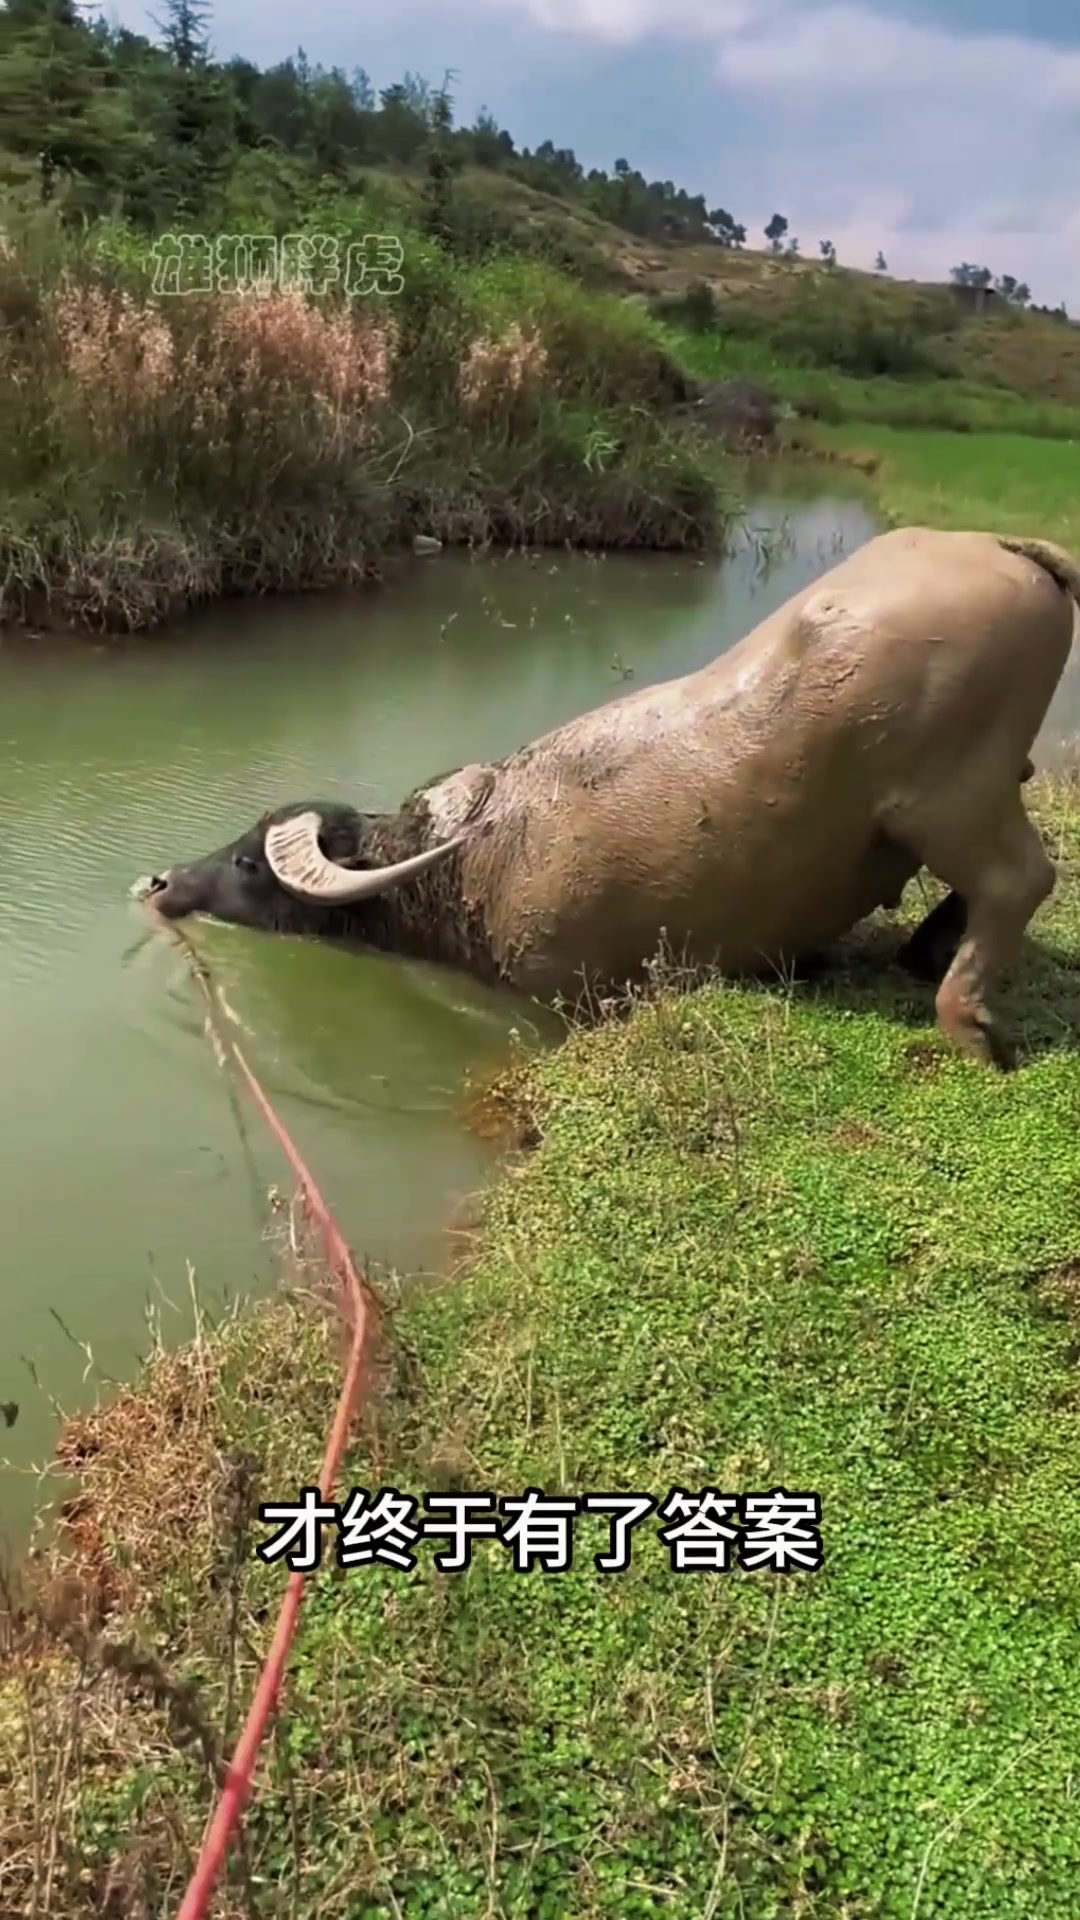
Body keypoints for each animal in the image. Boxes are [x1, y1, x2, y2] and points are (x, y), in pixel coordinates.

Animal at [141, 526, 1076, 1067]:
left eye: (245, 861)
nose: (159, 881)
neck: (464, 866)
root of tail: (1004, 548)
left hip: (948, 796)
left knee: (1020, 879)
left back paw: (966, 1021)